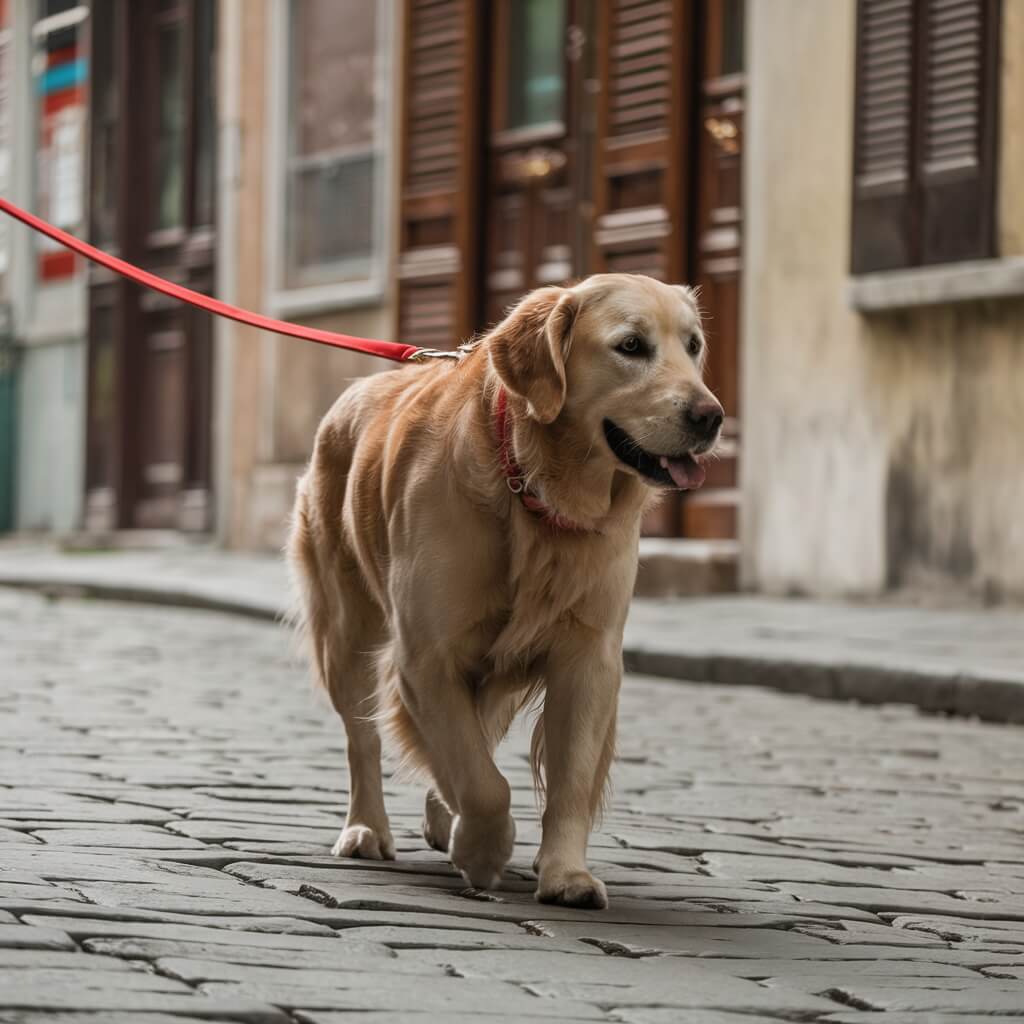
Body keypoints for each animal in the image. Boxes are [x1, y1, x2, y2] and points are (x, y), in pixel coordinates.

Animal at [286, 270, 720, 905]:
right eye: (631, 346)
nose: (711, 417)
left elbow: (566, 777)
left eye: (693, 346)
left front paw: (565, 874)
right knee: (363, 739)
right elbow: (482, 782)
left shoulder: (588, 657)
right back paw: (367, 829)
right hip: (346, 631)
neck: (535, 488)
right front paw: (483, 849)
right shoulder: (426, 655)